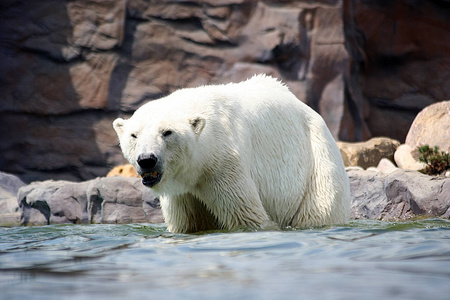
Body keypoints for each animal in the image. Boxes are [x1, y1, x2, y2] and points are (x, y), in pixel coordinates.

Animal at [113, 75, 352, 234]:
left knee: (320, 208)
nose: (147, 160)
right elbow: (188, 223)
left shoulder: (224, 162)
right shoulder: (183, 191)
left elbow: (247, 216)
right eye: (134, 135)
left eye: (167, 132)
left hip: (317, 161)